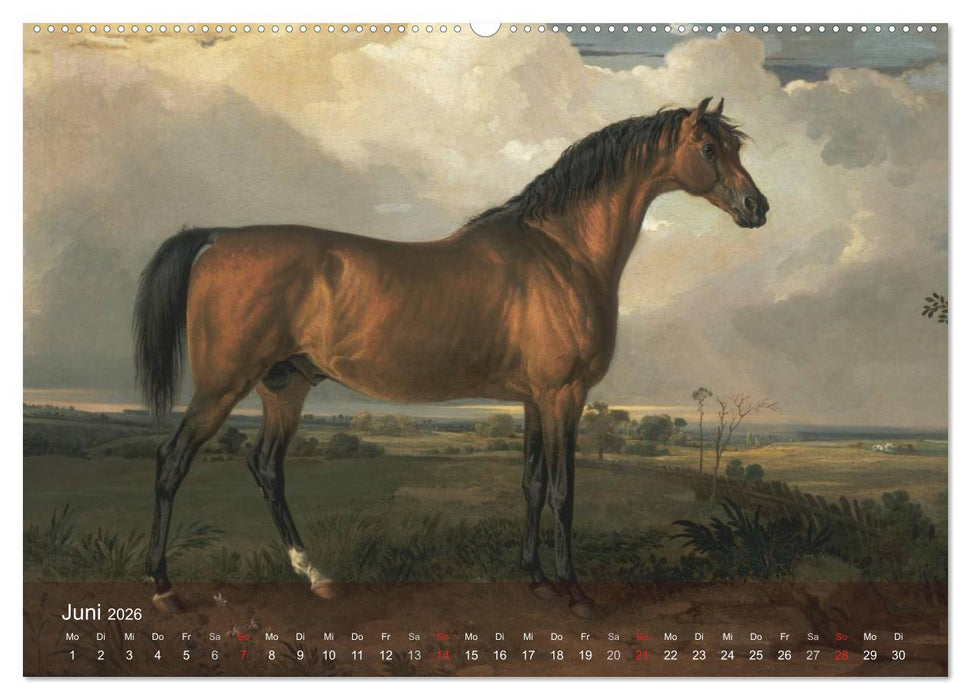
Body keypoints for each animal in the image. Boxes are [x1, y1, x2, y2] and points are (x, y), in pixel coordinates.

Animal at [134, 97, 768, 619]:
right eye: (709, 148)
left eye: (736, 146)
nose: (756, 206)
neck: (560, 253)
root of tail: (219, 237)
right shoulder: (563, 397)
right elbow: (563, 494)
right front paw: (576, 593)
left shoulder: (534, 400)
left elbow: (531, 483)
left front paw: (537, 580)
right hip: (223, 387)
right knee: (171, 462)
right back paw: (164, 589)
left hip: (283, 386)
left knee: (267, 468)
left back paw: (317, 577)